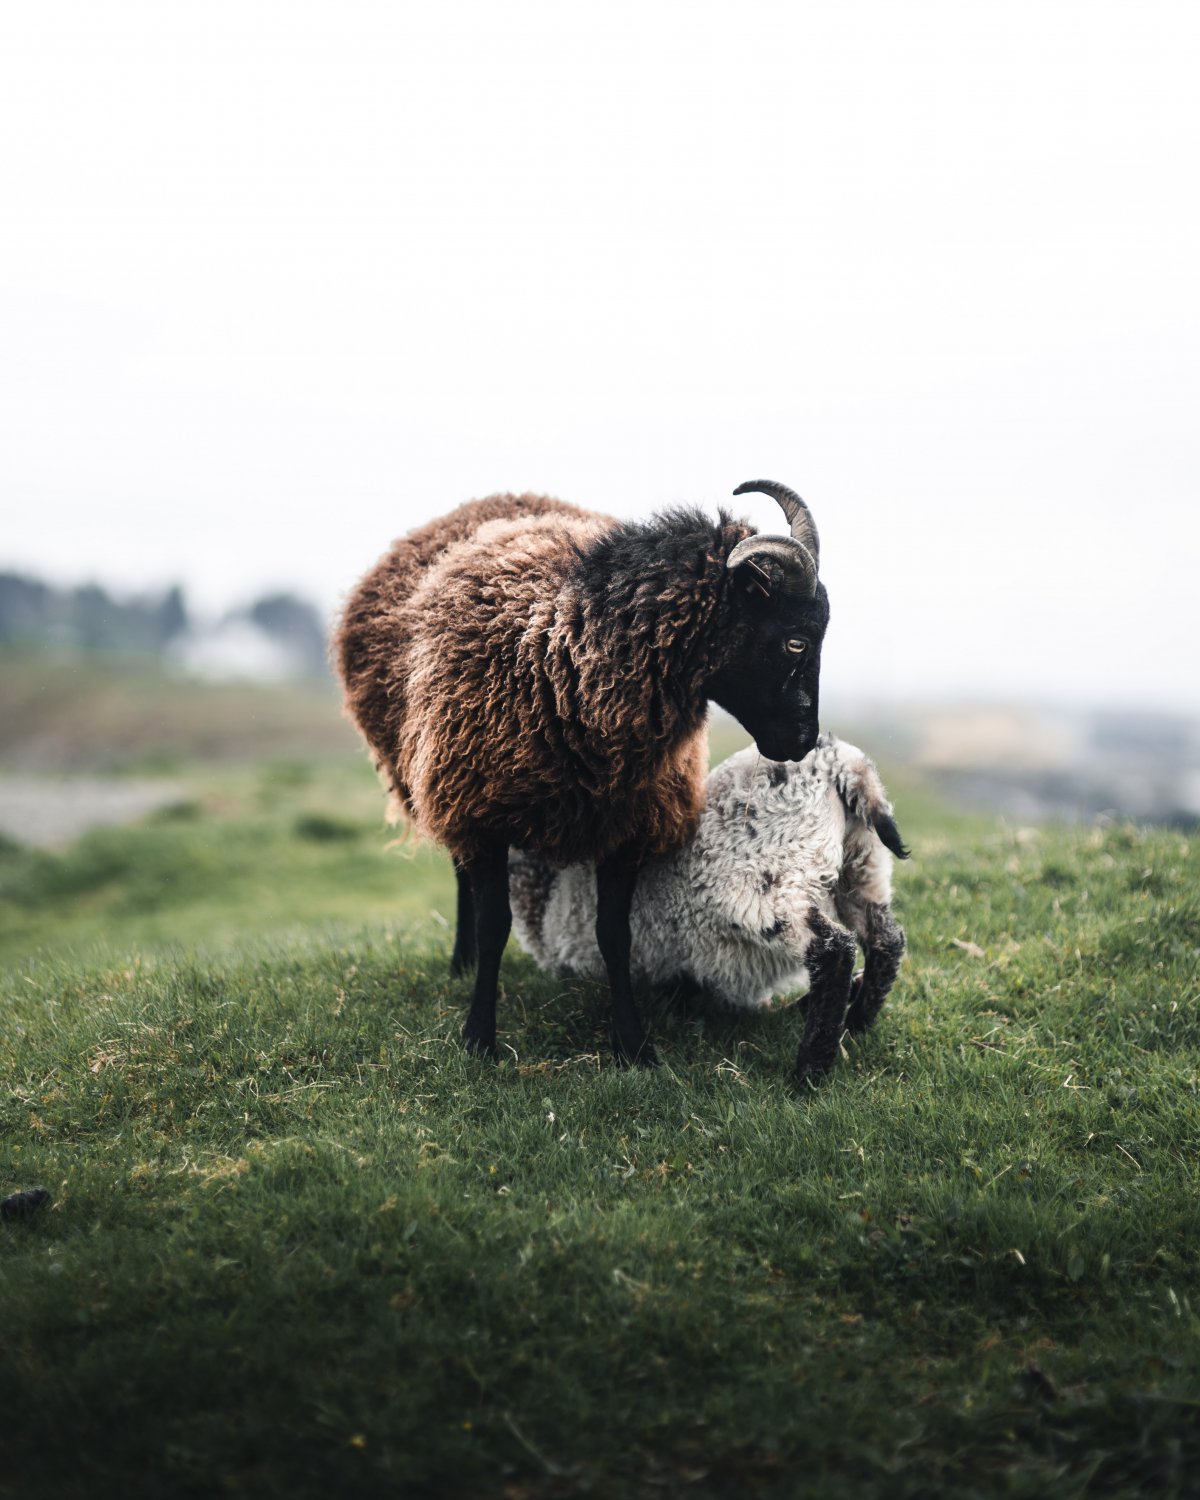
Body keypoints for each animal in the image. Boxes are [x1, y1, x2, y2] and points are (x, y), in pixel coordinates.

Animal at [333, 477, 828, 1068]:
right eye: (795, 640)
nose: (801, 742)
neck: (565, 657)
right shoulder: (479, 814)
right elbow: (494, 925)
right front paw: (479, 1038)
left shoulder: (631, 824)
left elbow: (614, 935)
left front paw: (633, 1044)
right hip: (437, 781)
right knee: (460, 878)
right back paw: (462, 964)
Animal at [510, 732, 912, 1086]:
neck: (548, 893)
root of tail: (837, 761)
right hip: (863, 867)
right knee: (886, 941)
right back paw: (857, 1023)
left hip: (768, 885)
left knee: (834, 952)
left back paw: (807, 1074)